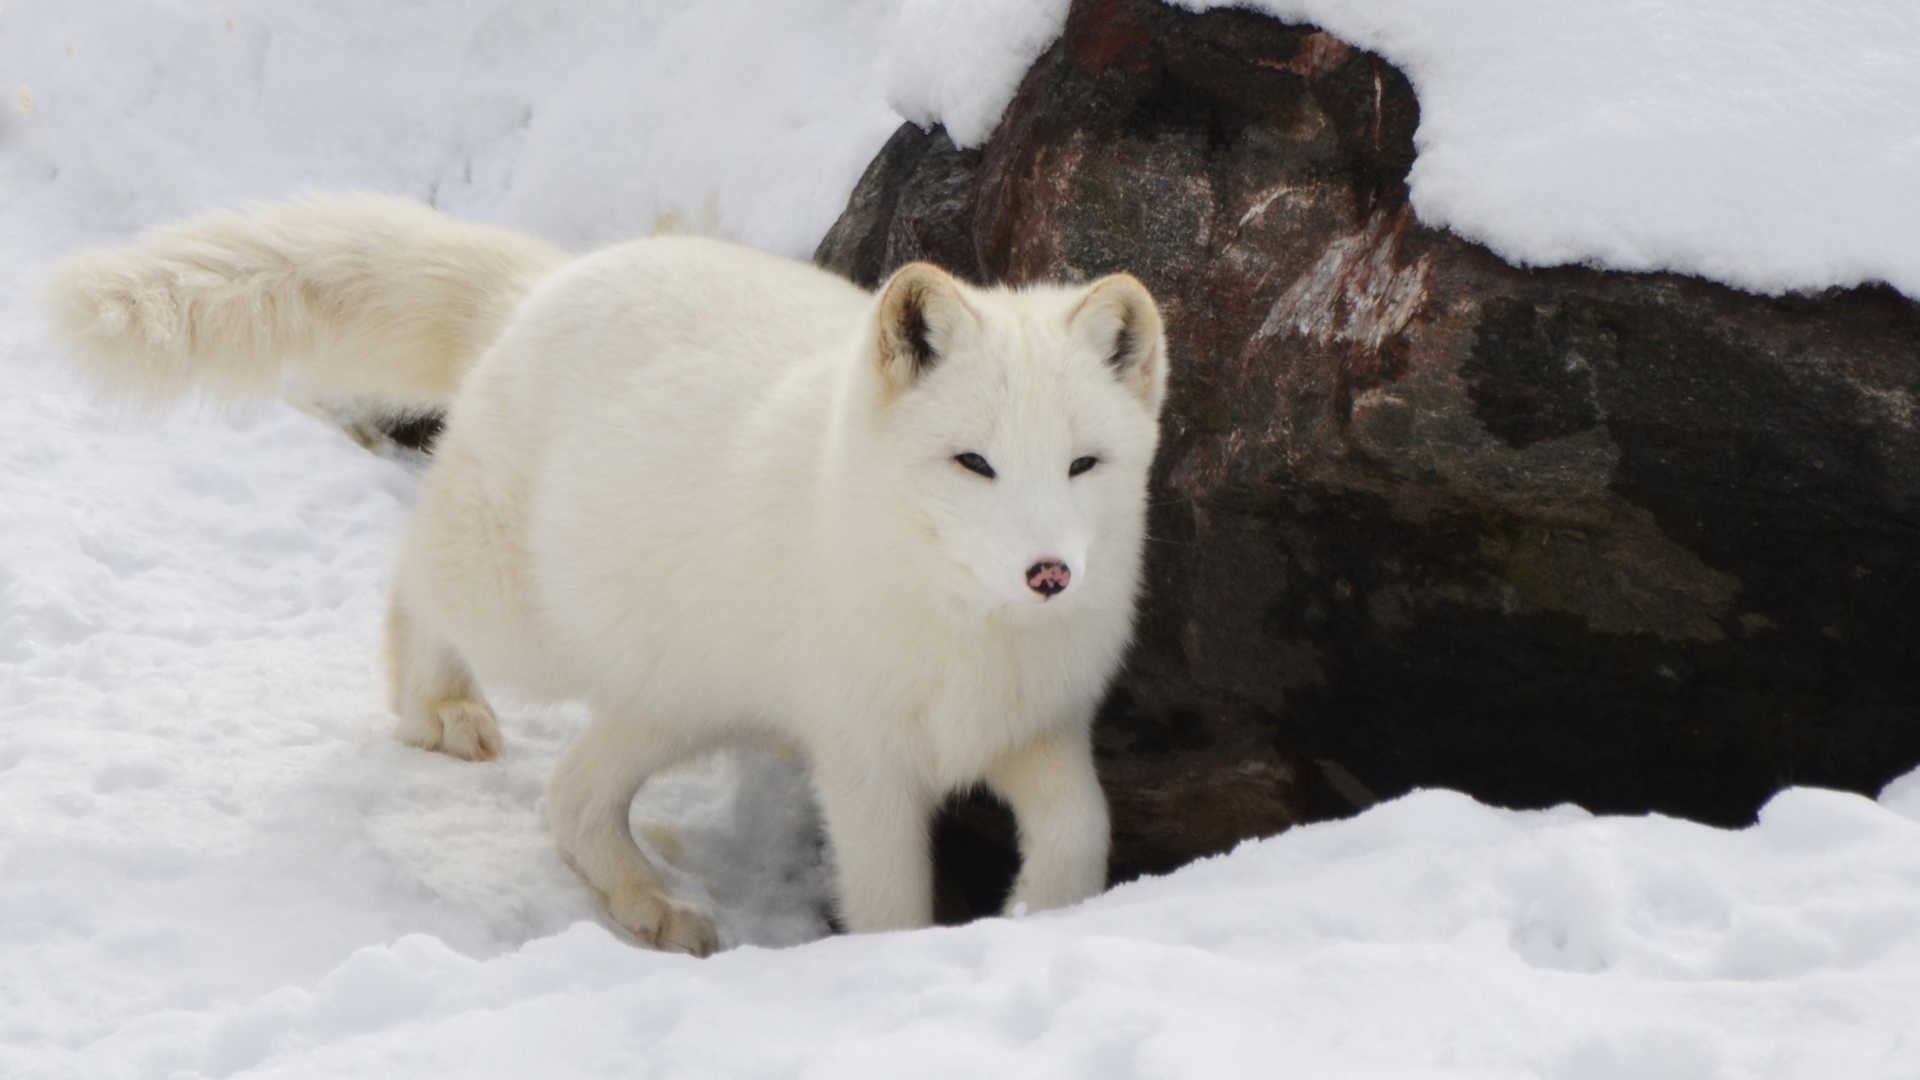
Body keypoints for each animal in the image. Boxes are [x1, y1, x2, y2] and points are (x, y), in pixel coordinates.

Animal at [48, 193, 1167, 949]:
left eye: (1083, 464)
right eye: (974, 463)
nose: (1050, 573)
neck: (968, 636)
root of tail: (544, 286)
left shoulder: (1042, 729)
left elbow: (1083, 834)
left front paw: (1045, 917)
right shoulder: (864, 762)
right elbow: (890, 904)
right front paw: (898, 967)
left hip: (678, 696)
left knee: (571, 799)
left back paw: (651, 904)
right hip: (527, 624)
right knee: (415, 579)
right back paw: (436, 705)